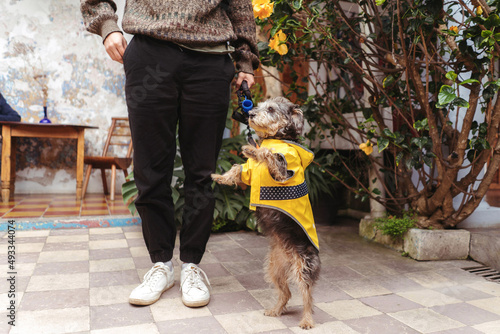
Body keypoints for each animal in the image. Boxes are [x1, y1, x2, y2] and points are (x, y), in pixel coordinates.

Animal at [211, 96, 320, 328]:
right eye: (259, 105)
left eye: (270, 109)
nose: (250, 114)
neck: (276, 138)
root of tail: (288, 258)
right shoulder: (249, 172)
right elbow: (237, 169)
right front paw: (220, 177)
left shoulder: (282, 171)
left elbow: (267, 153)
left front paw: (252, 149)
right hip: (274, 269)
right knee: (286, 293)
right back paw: (276, 310)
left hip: (303, 266)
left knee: (307, 296)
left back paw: (307, 320)